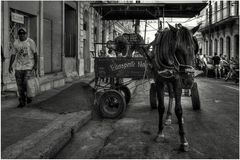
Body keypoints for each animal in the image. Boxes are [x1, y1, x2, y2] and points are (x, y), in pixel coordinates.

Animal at [150, 23, 201, 151]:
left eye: (195, 48)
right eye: (177, 49)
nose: (188, 81)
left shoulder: (177, 81)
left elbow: (179, 109)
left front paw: (183, 140)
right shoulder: (159, 81)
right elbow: (161, 107)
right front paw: (160, 133)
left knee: (173, 95)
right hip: (168, 81)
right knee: (171, 95)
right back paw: (168, 117)